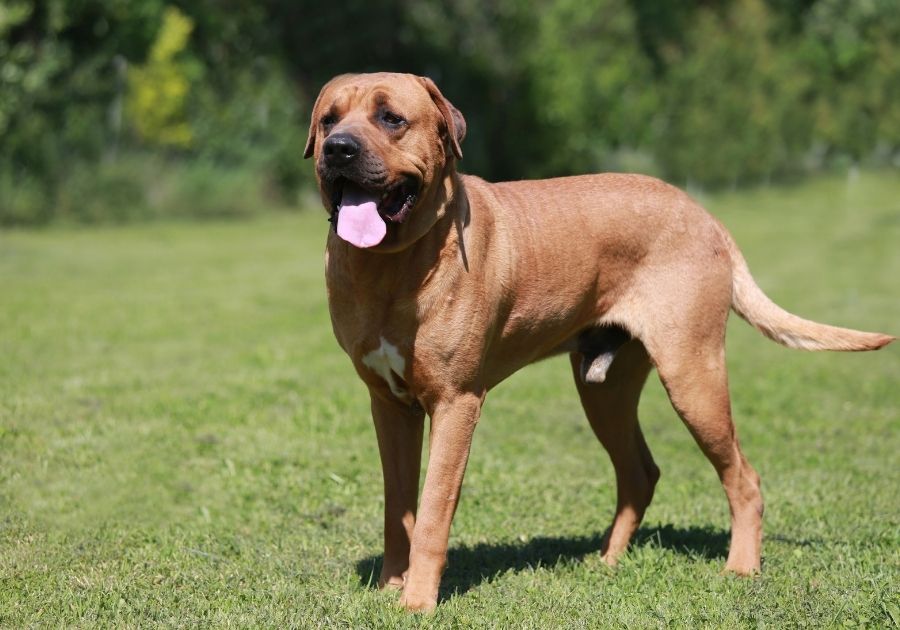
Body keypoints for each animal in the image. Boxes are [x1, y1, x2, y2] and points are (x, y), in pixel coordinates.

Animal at [304, 73, 892, 612]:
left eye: (391, 119)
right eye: (329, 120)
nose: (339, 149)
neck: (392, 266)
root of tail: (704, 215)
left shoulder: (455, 402)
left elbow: (431, 512)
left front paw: (418, 601)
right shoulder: (389, 405)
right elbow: (397, 507)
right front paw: (390, 586)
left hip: (693, 376)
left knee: (743, 477)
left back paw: (741, 568)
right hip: (604, 389)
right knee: (640, 473)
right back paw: (609, 560)